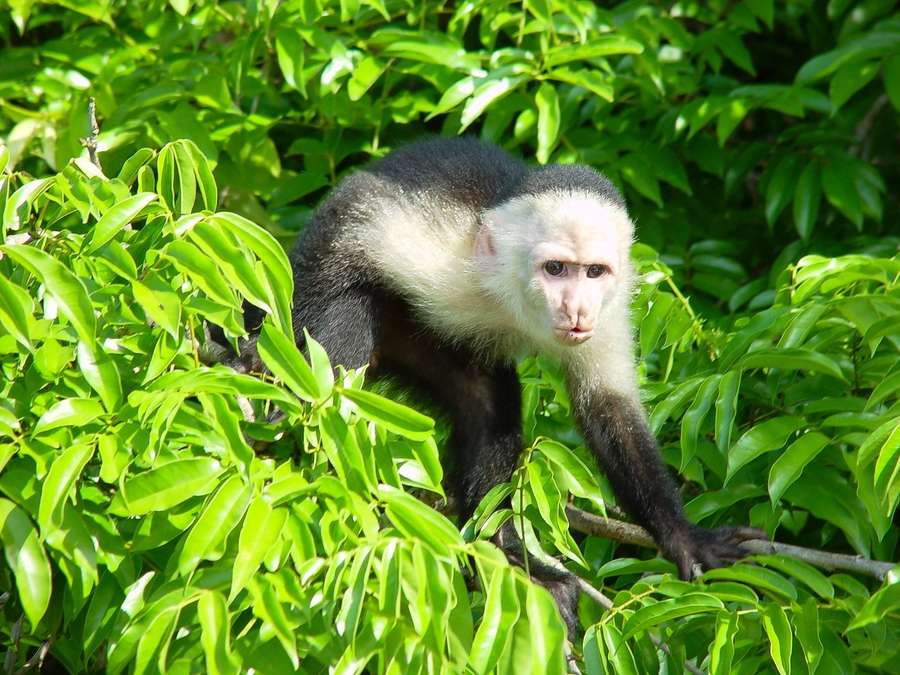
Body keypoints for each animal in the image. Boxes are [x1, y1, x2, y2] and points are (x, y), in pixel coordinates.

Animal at [238, 137, 761, 632]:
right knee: (348, 309)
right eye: (555, 269)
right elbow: (349, 216)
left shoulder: (609, 310)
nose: (576, 308)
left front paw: (683, 537)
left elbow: (608, 410)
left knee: (488, 402)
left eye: (594, 271)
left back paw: (505, 549)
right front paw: (257, 358)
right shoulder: (441, 243)